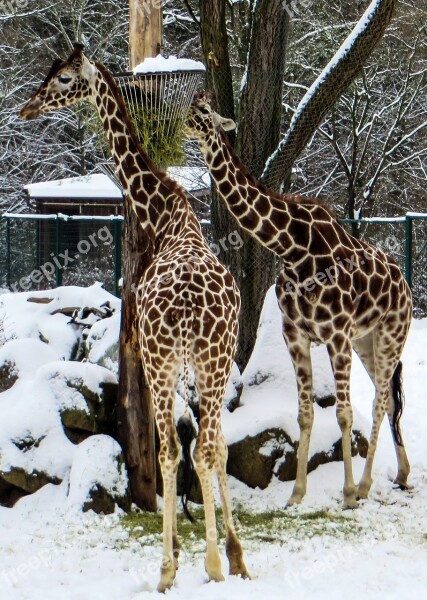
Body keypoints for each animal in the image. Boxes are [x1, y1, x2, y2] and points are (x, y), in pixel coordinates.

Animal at [20, 45, 251, 592]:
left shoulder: (163, 358)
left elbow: (193, 450)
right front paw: (232, 555)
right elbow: (214, 448)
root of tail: (188, 307)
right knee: (197, 448)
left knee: (181, 451)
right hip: (201, 364)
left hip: (177, 362)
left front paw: (207, 557)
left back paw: (184, 566)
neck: (167, 215)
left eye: (64, 79)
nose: (26, 108)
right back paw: (207, 562)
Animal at [186, 94, 412, 510]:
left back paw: (365, 485)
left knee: (379, 400)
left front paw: (347, 494)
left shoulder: (336, 334)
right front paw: (296, 493)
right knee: (387, 398)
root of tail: (404, 285)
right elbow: (305, 414)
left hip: (391, 334)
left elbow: (343, 413)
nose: (183, 120)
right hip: (367, 341)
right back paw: (400, 475)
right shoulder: (296, 334)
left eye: (205, 112)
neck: (291, 246)